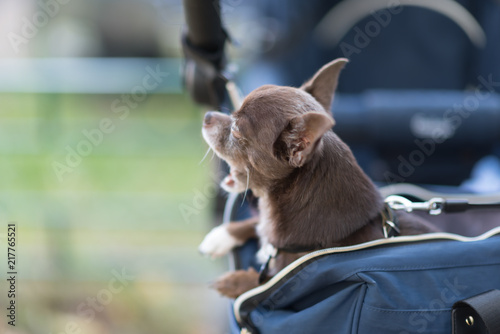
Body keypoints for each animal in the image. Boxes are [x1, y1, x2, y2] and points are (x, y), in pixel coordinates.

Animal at [197, 58, 436, 298]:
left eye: (236, 131)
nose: (207, 116)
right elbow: (257, 222)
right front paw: (222, 235)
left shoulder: (285, 278)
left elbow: (261, 284)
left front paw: (233, 281)